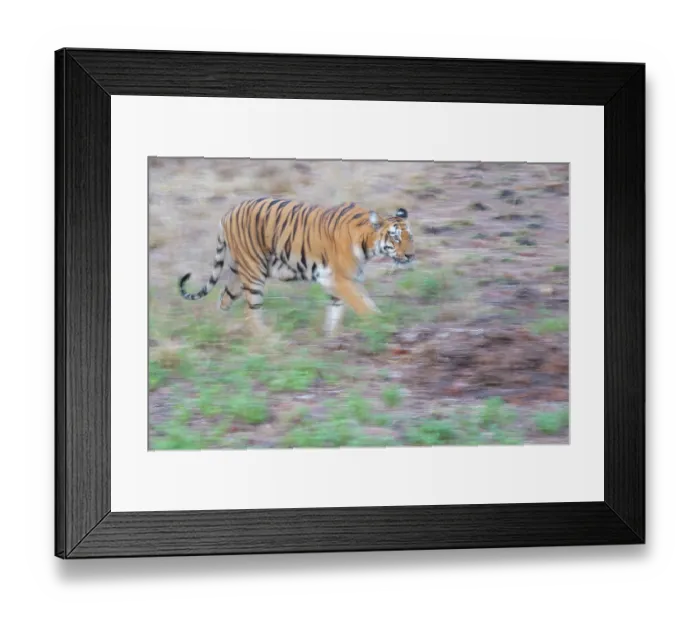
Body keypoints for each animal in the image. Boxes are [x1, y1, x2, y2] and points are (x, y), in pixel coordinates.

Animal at [178, 197, 415, 336]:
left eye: (409, 237)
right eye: (395, 237)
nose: (411, 255)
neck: (367, 245)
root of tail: (227, 213)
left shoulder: (343, 280)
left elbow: (339, 309)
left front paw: (330, 337)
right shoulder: (339, 279)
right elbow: (363, 305)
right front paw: (382, 325)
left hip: (239, 270)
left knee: (224, 298)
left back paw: (220, 327)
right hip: (254, 272)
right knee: (250, 311)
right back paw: (268, 340)